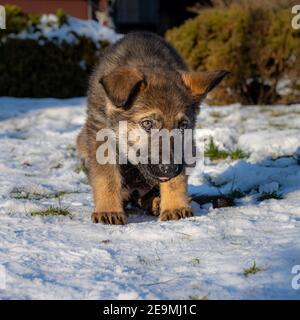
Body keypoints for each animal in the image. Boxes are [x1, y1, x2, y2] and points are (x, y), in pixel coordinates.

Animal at [77, 31, 227, 224]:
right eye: (147, 124)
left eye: (183, 126)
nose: (169, 169)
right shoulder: (99, 133)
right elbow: (107, 176)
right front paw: (108, 210)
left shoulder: (185, 147)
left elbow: (176, 181)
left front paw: (175, 206)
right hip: (81, 141)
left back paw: (155, 202)